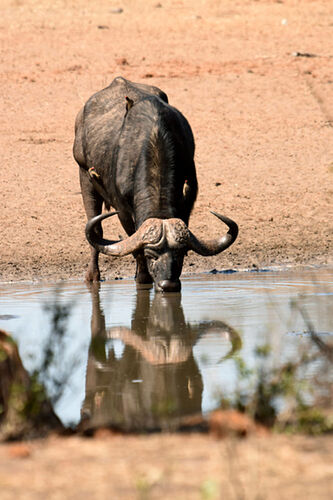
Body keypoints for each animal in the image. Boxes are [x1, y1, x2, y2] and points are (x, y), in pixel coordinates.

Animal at [73, 76, 237, 292]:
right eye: (151, 255)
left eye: (181, 254)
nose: (169, 285)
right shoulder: (123, 210)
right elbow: (133, 242)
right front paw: (143, 277)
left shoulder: (189, 196)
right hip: (84, 176)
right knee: (96, 230)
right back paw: (92, 276)